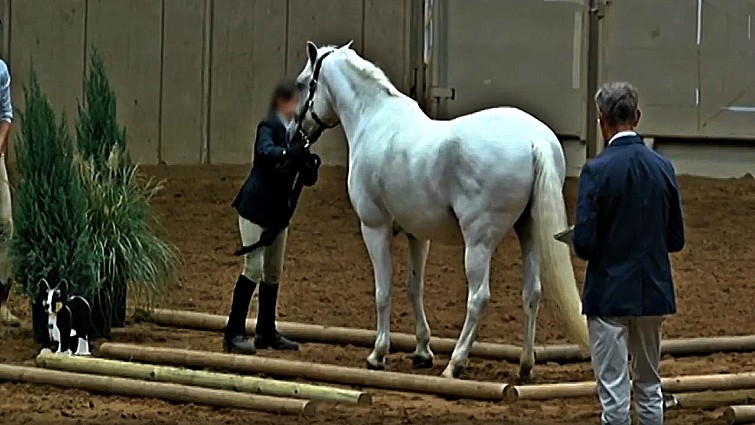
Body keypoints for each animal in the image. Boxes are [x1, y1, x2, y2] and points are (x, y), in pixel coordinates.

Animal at [289, 41, 589, 379]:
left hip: (478, 242)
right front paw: (422, 351)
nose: (294, 133)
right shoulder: (418, 235)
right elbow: (414, 288)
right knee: (532, 293)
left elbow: (383, 291)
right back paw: (525, 366)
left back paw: (455, 363)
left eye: (302, 84)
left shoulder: (375, 227)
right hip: (530, 233)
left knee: (479, 297)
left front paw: (378, 354)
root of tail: (534, 140)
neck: (375, 120)